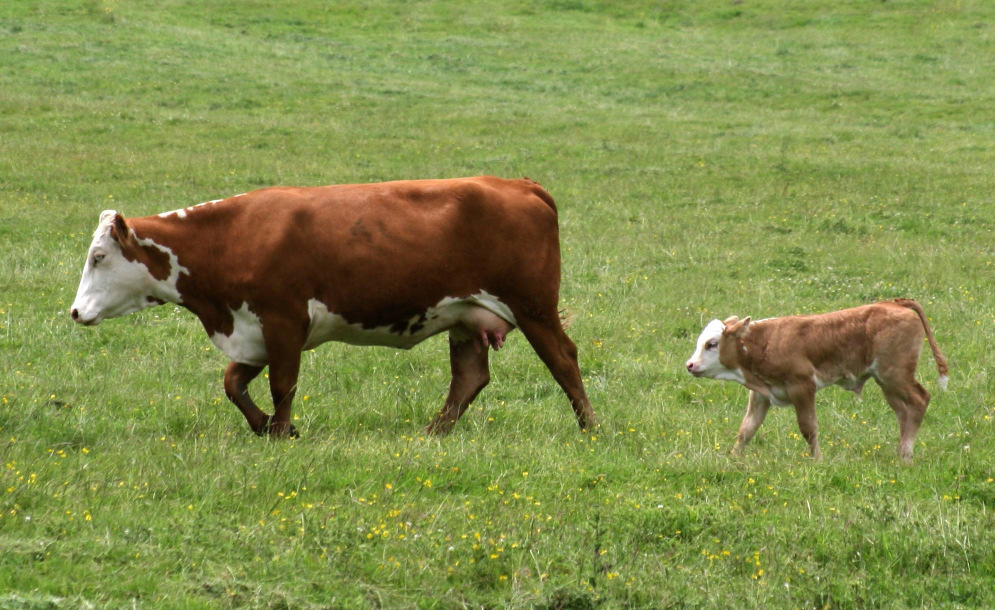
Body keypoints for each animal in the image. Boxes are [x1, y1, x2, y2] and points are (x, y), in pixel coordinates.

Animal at [72, 176, 600, 436]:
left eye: (99, 257)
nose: (75, 312)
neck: (230, 239)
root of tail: (519, 184)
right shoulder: (252, 332)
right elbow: (232, 384)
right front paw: (265, 427)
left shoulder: (284, 321)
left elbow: (283, 385)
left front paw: (281, 432)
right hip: (467, 316)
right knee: (469, 377)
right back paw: (433, 432)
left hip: (533, 307)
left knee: (563, 360)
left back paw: (590, 428)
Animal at [684, 296, 948, 458]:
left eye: (711, 344)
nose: (690, 365)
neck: (765, 343)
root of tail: (895, 303)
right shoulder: (760, 396)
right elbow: (746, 430)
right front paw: (733, 458)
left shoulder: (802, 388)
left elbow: (808, 428)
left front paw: (817, 460)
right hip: (886, 382)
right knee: (903, 411)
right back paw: (902, 454)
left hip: (896, 375)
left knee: (920, 400)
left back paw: (907, 452)